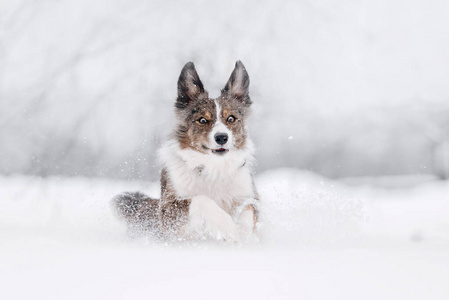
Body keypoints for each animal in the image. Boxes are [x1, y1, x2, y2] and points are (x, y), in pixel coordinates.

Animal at [113, 61, 260, 241]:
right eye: (202, 120)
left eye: (231, 118)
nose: (221, 137)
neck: (214, 168)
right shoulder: (168, 210)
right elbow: (201, 199)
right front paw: (227, 226)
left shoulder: (249, 195)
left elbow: (249, 208)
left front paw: (245, 234)